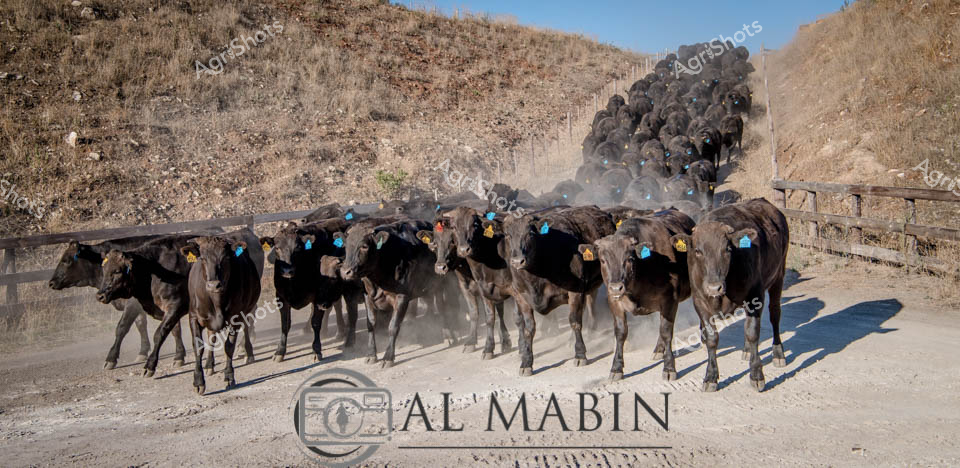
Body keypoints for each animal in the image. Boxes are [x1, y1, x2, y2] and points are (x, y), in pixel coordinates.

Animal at [179, 236, 261, 394]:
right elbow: (198, 346)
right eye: (202, 258)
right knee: (211, 336)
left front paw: (229, 376)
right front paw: (198, 381)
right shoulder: (193, 317)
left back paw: (248, 353)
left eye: (225, 258)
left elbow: (229, 346)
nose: (213, 285)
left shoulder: (236, 318)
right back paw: (209, 365)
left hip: (248, 309)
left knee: (247, 327)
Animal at [496, 206, 615, 376]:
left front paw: (580, 354)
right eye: (507, 234)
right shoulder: (521, 297)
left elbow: (574, 322)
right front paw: (526, 362)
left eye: (530, 233)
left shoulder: (575, 292)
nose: (518, 261)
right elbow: (528, 329)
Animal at [578, 210, 695, 381]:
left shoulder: (669, 300)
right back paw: (658, 349)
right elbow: (621, 332)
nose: (616, 287)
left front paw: (669, 368)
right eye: (603, 260)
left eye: (629, 259)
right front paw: (616, 368)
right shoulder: (614, 302)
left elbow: (666, 331)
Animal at [670, 198, 789, 392]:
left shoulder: (755, 296)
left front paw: (756, 375)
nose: (714, 287)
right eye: (698, 251)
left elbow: (752, 332)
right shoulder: (699, 300)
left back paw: (778, 353)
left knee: (775, 314)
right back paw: (747, 350)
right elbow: (711, 337)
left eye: (727, 249)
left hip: (778, 275)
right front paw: (710, 376)